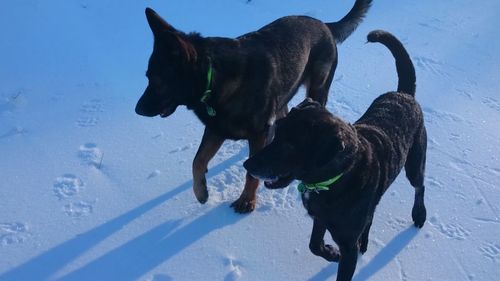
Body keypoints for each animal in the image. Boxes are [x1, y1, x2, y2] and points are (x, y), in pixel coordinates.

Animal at [134, 0, 372, 212]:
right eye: (147, 77)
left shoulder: (256, 133)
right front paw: (201, 192)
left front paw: (247, 200)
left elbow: (250, 173)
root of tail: (324, 24)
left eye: (157, 81)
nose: (137, 110)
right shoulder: (216, 128)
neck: (215, 78)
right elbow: (197, 161)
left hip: (317, 88)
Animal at [244, 29, 428, 278]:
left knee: (420, 186)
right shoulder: (320, 218)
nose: (248, 165)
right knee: (371, 216)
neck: (337, 176)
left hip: (414, 162)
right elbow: (314, 245)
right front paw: (331, 253)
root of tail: (403, 94)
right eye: (276, 132)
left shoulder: (347, 243)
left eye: (290, 145)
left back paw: (419, 214)